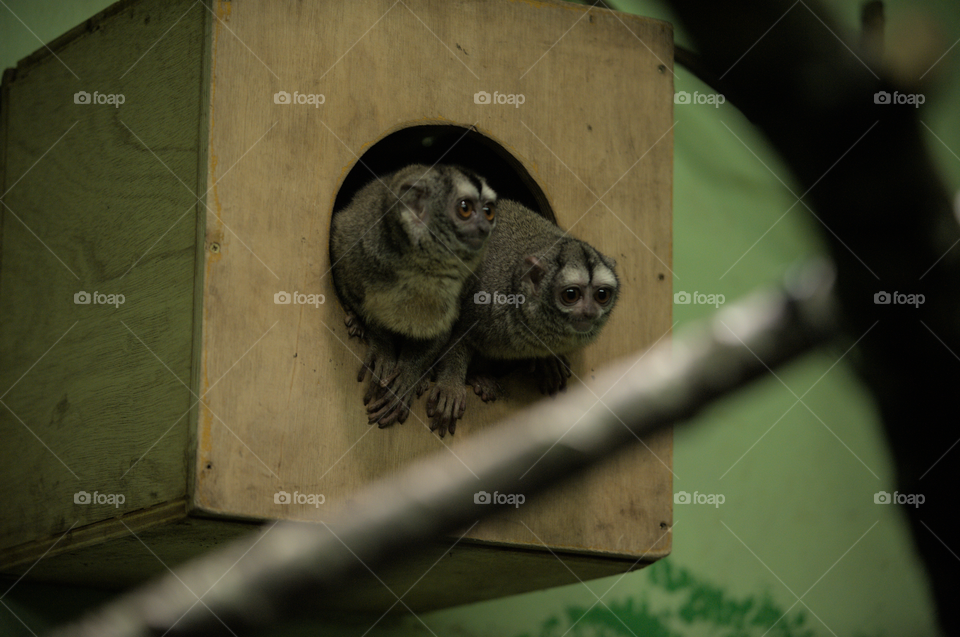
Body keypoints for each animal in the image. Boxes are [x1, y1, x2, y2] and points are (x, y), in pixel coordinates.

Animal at [329, 164, 498, 428]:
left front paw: (409, 376)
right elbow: (351, 286)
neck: (421, 266)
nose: (485, 228)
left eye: (489, 212)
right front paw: (382, 350)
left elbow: (442, 331)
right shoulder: (359, 245)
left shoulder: (470, 278)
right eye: (465, 208)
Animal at [426, 200, 619, 437]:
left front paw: (549, 361)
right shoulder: (486, 304)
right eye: (571, 295)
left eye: (602, 295)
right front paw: (450, 387)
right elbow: (460, 333)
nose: (590, 312)